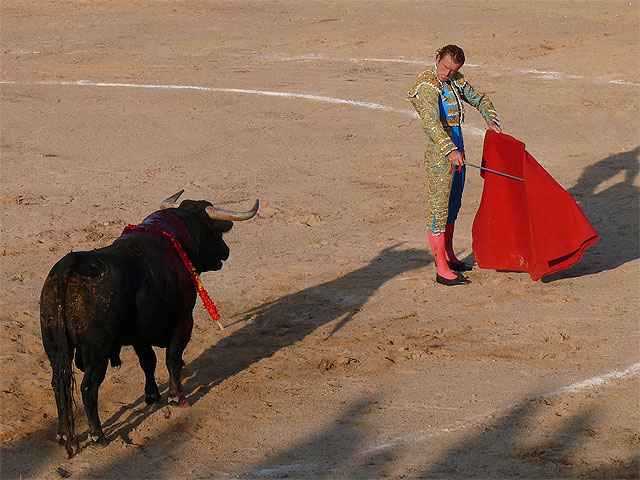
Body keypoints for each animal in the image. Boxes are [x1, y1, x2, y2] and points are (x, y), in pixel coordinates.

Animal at [38, 189, 255, 456]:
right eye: (214, 232)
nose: (226, 251)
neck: (173, 237)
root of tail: (69, 264)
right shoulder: (184, 321)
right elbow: (173, 360)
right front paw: (177, 397)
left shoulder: (139, 335)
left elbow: (148, 362)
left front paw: (151, 395)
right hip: (97, 353)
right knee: (88, 388)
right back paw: (98, 436)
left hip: (54, 348)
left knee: (58, 383)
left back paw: (61, 434)